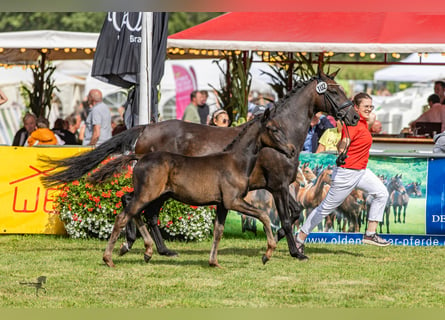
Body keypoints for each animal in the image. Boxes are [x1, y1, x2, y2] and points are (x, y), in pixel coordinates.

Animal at [87, 109, 294, 266]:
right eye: (273, 129)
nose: (291, 149)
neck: (236, 162)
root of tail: (140, 157)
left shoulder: (222, 204)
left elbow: (218, 231)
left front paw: (214, 262)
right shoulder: (233, 201)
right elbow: (264, 215)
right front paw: (267, 254)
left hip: (148, 195)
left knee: (133, 210)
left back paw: (147, 251)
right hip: (147, 194)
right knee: (124, 216)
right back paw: (109, 258)